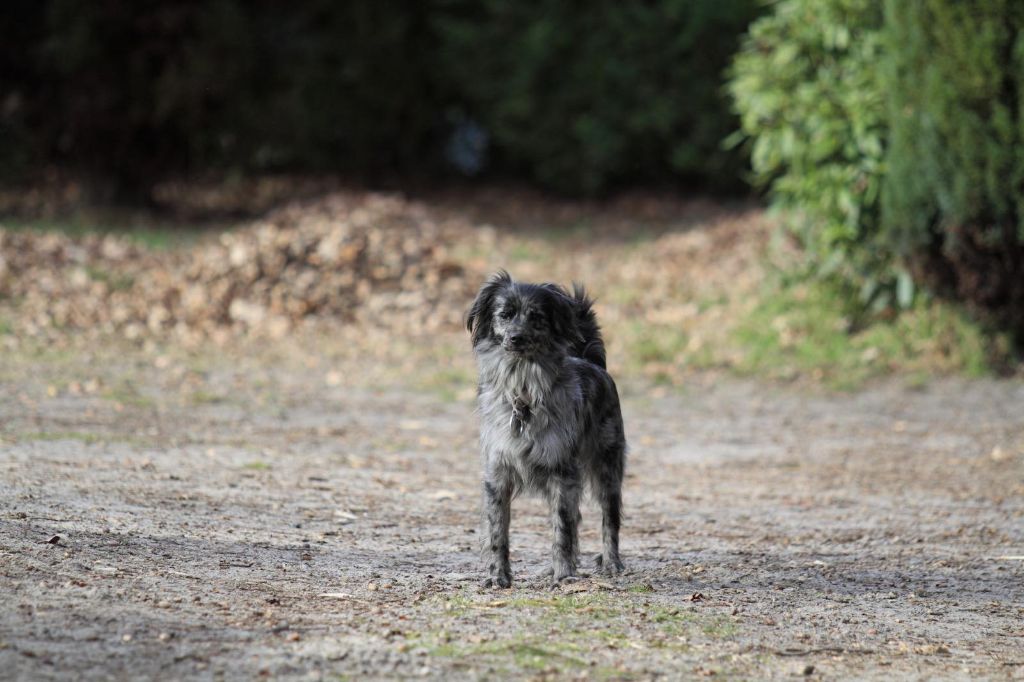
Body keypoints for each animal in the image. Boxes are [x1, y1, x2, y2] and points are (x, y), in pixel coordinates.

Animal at [464, 270, 622, 585]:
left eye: (536, 317)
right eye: (505, 314)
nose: (516, 337)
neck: (522, 391)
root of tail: (594, 363)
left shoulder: (562, 472)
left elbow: (562, 527)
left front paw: (563, 575)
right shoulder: (497, 474)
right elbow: (497, 532)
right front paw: (498, 576)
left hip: (608, 470)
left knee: (607, 520)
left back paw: (611, 563)